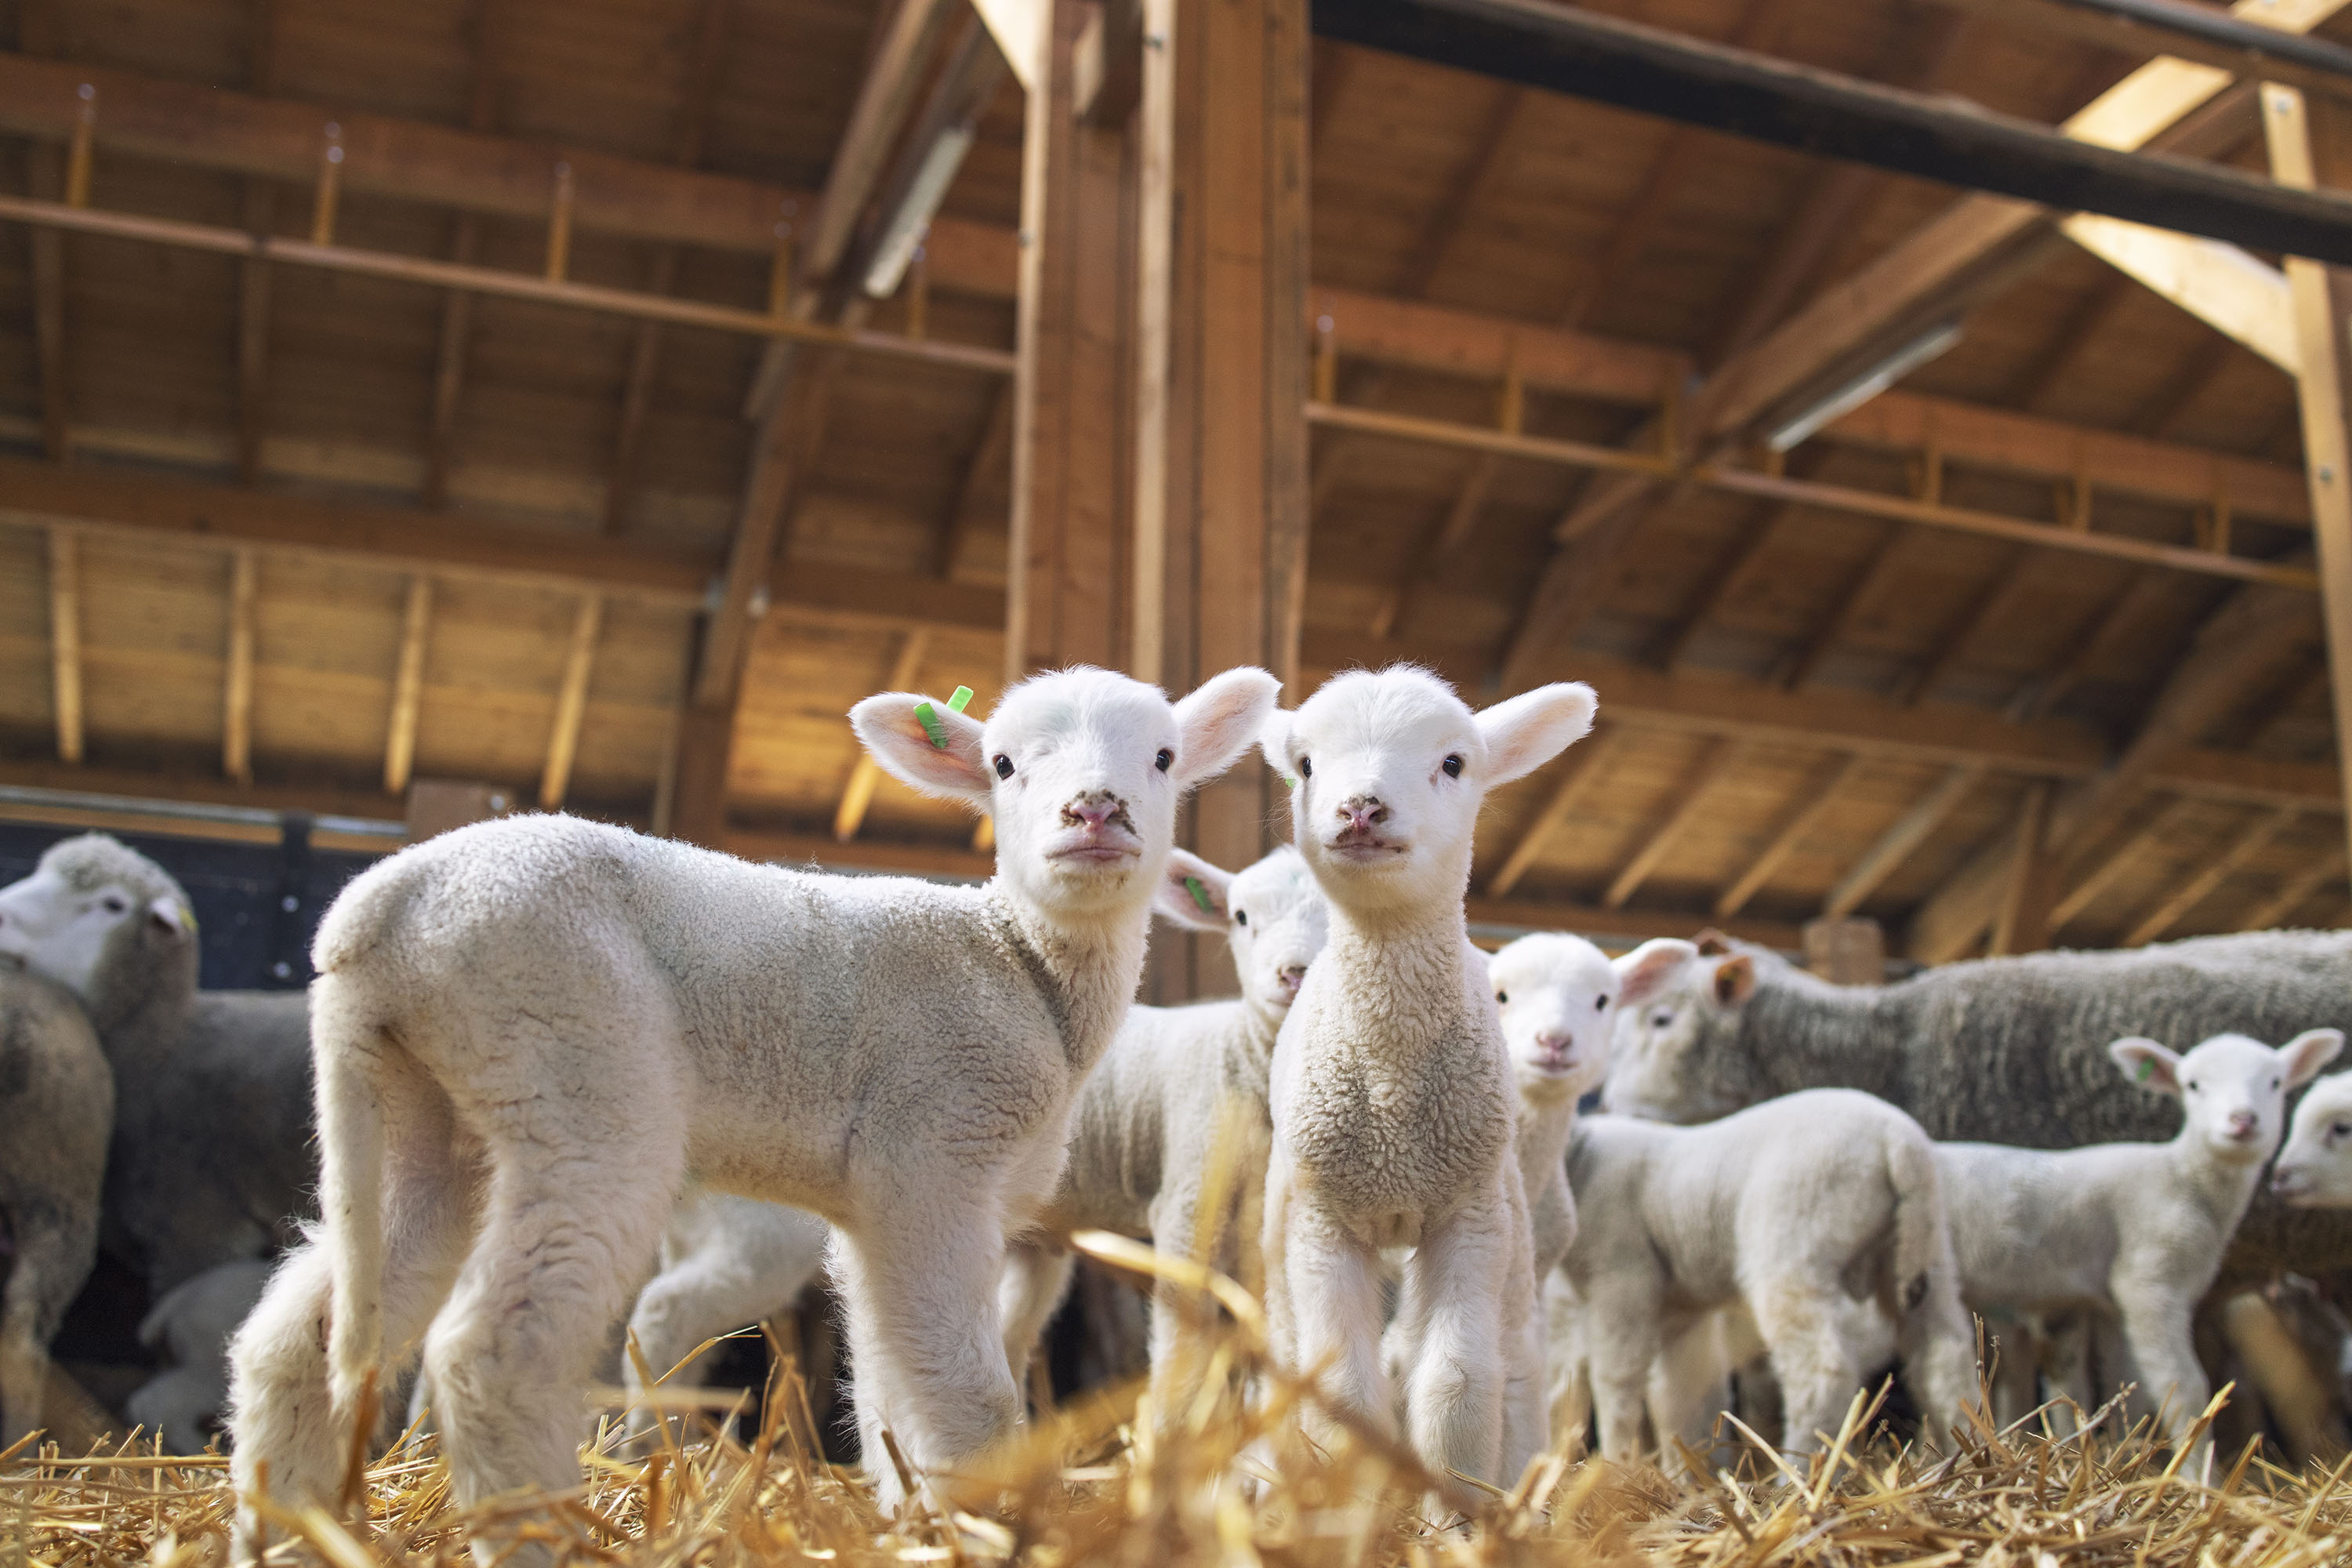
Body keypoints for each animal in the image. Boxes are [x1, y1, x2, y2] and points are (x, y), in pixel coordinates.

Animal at [223, 664, 1278, 1548]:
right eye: (1005, 764)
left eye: (1163, 757)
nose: (1095, 810)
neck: (1021, 962)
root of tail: (378, 912)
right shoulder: (934, 1150)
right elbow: (967, 1386)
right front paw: (985, 1517)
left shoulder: (881, 1204)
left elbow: (890, 1373)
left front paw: (907, 1507)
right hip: (576, 1065)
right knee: (496, 1346)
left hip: (428, 1109)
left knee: (299, 1334)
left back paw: (283, 1529)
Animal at [1257, 665, 1596, 1502]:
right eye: (1305, 765)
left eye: (1452, 763)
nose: (1361, 808)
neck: (1391, 1094)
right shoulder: (1323, 1221)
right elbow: (1343, 1389)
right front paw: (1350, 1505)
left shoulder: (1466, 1215)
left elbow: (1458, 1382)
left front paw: (1459, 1511)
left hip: (1508, 1220)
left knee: (1513, 1364)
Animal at [1549, 1090, 1978, 1463]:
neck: (1581, 1161)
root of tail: (1898, 1141)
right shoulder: (1679, 1310)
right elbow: (1678, 1397)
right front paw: (1685, 1474)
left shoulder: (1621, 1278)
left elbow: (1616, 1382)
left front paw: (1617, 1464)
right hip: (1923, 1250)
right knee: (1945, 1358)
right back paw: (1967, 1450)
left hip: (1793, 1243)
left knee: (1822, 1372)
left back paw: (1800, 1473)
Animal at [1934, 1028, 2340, 1462]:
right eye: (2193, 1085)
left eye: (2275, 1082)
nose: (2242, 1120)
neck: (2185, 1177)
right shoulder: (2149, 1281)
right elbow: (2185, 1387)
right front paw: (2196, 1471)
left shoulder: (2113, 1307)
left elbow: (2126, 1384)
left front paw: (2124, 1451)